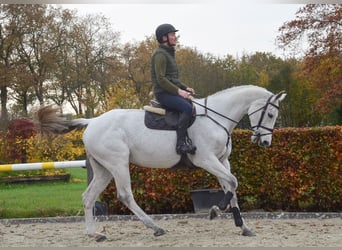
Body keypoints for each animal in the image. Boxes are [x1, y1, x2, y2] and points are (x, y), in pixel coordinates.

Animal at [35, 85, 286, 241]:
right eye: (270, 115)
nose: (264, 142)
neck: (217, 118)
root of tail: (93, 121)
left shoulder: (223, 161)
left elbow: (231, 186)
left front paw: (243, 226)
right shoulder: (206, 159)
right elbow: (232, 183)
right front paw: (215, 211)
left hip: (103, 169)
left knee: (88, 197)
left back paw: (94, 234)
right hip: (118, 164)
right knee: (125, 195)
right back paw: (155, 227)